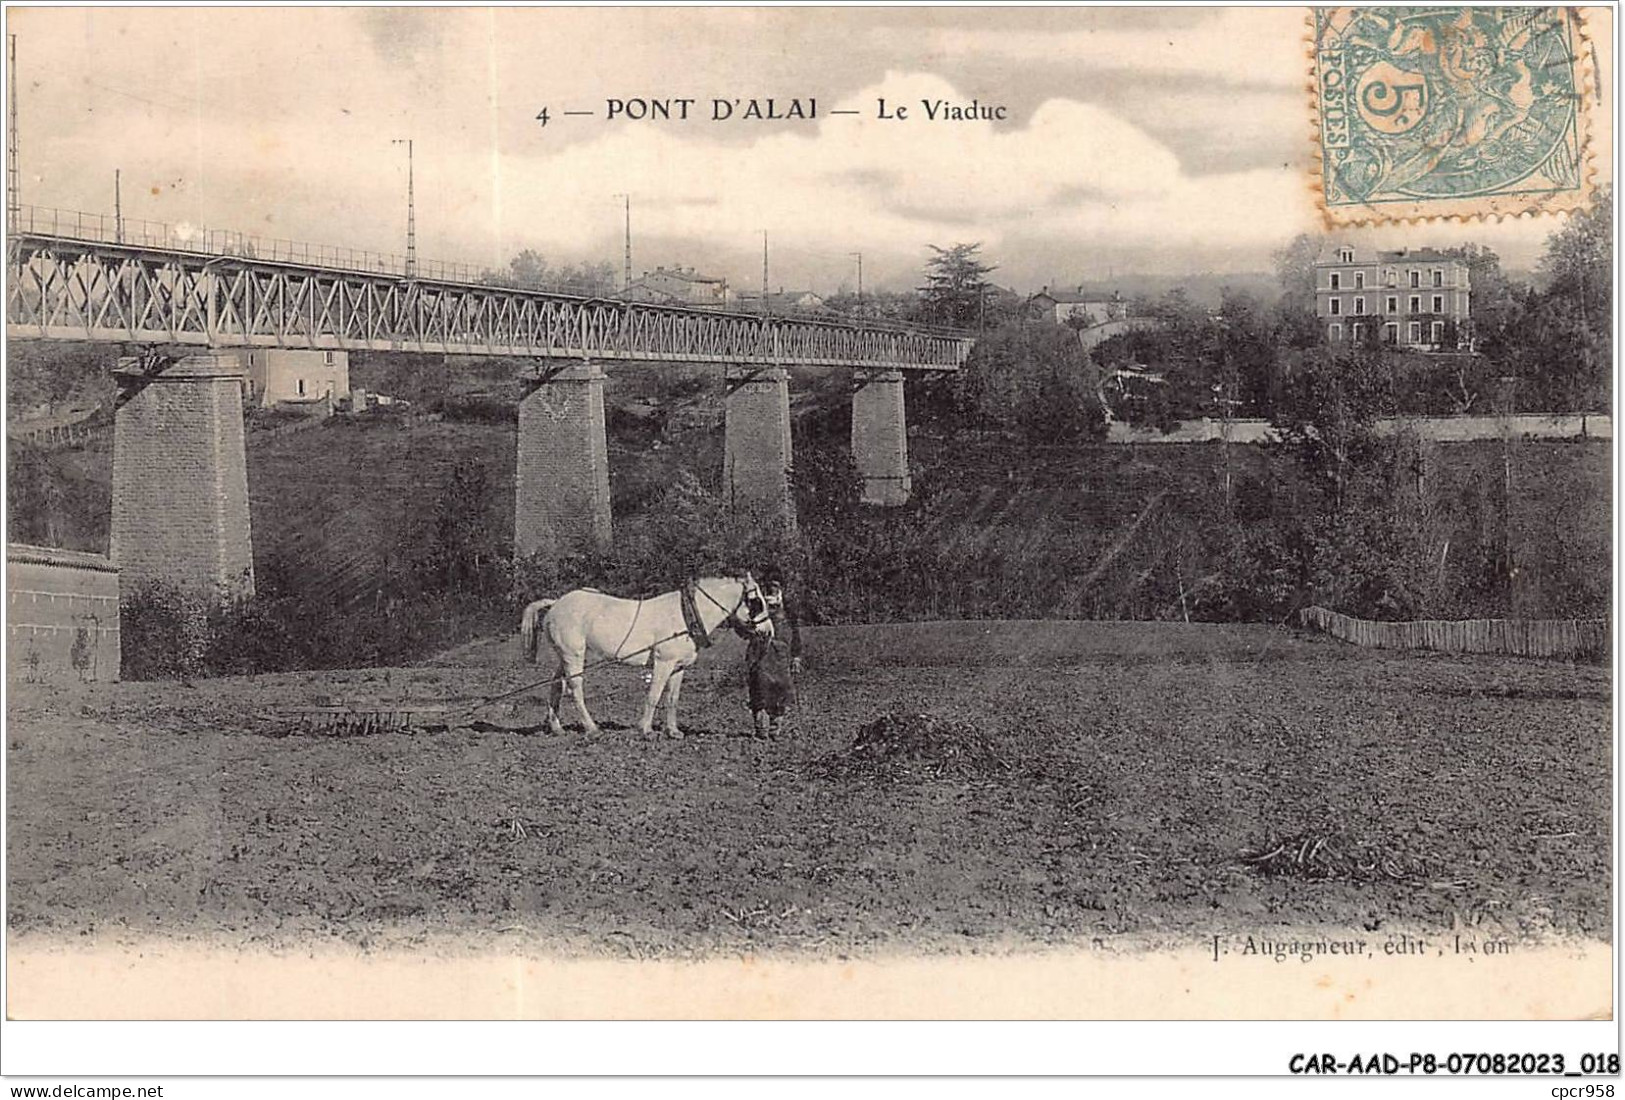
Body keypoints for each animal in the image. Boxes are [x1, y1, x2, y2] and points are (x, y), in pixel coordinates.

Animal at [520, 575, 773, 737]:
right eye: (756, 602)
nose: (768, 632)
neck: (685, 615)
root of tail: (556, 603)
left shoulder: (678, 667)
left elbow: (672, 699)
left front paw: (673, 731)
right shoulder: (663, 663)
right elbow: (654, 695)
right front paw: (645, 729)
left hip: (565, 657)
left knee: (556, 686)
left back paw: (557, 728)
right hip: (574, 656)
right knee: (575, 689)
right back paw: (591, 728)